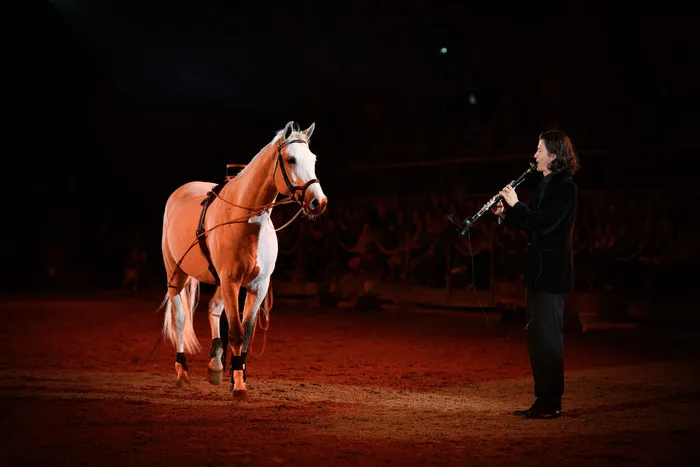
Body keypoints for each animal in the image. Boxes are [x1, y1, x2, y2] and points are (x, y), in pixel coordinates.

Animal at [160, 121, 326, 398]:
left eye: (313, 159)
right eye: (291, 159)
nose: (318, 202)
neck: (245, 220)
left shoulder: (258, 286)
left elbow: (246, 333)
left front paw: (238, 376)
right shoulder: (231, 282)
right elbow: (236, 333)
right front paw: (238, 385)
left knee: (213, 309)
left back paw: (216, 365)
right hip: (176, 273)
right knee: (180, 318)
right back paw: (182, 372)